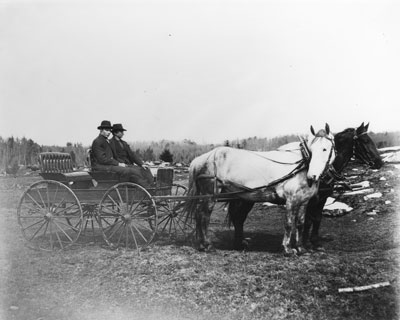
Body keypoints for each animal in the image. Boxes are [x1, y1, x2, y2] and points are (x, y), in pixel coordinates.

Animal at [186, 124, 336, 256]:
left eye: (325, 149)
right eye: (312, 149)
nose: (313, 176)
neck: (302, 165)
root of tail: (201, 158)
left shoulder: (304, 201)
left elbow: (300, 224)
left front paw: (300, 248)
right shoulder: (291, 200)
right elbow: (288, 224)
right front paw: (287, 249)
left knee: (200, 214)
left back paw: (202, 244)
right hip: (210, 196)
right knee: (204, 216)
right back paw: (207, 245)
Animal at [304, 121, 384, 249]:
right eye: (365, 141)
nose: (380, 162)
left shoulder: (323, 198)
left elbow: (317, 218)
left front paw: (315, 241)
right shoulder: (311, 200)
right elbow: (308, 220)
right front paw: (305, 243)